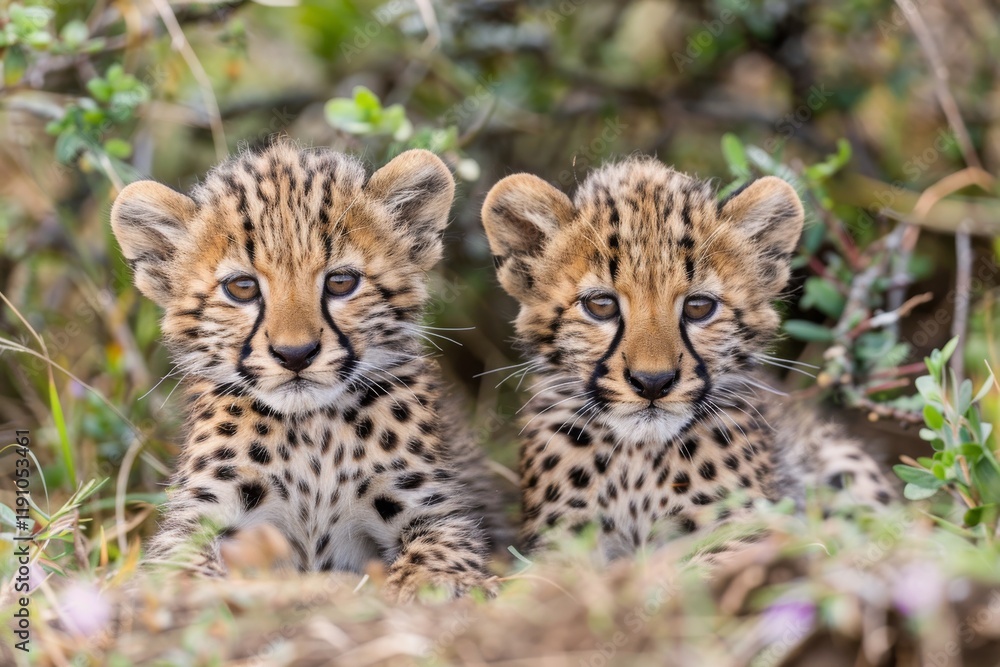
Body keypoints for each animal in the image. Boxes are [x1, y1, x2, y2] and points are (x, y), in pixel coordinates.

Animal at [111, 143, 508, 601]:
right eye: (241, 288)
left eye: (340, 282)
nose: (295, 354)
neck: (310, 432)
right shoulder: (199, 516)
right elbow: (177, 564)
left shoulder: (430, 509)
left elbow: (441, 550)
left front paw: (434, 585)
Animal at [480, 157, 894, 562]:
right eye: (601, 305)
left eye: (698, 307)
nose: (653, 382)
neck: (636, 459)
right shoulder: (559, 545)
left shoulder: (745, 529)